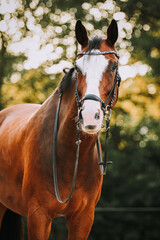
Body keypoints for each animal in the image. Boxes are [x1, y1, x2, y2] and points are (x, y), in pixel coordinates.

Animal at [0, 19, 120, 239]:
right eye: (77, 68)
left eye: (113, 66)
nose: (89, 116)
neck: (71, 155)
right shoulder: (38, 215)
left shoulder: (83, 218)